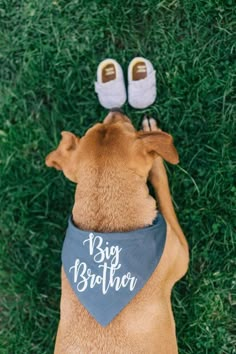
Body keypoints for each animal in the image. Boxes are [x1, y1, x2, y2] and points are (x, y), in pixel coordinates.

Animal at [45, 111, 190, 354]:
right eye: (128, 127)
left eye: (99, 125)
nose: (115, 110)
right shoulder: (180, 248)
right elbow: (162, 186)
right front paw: (153, 140)